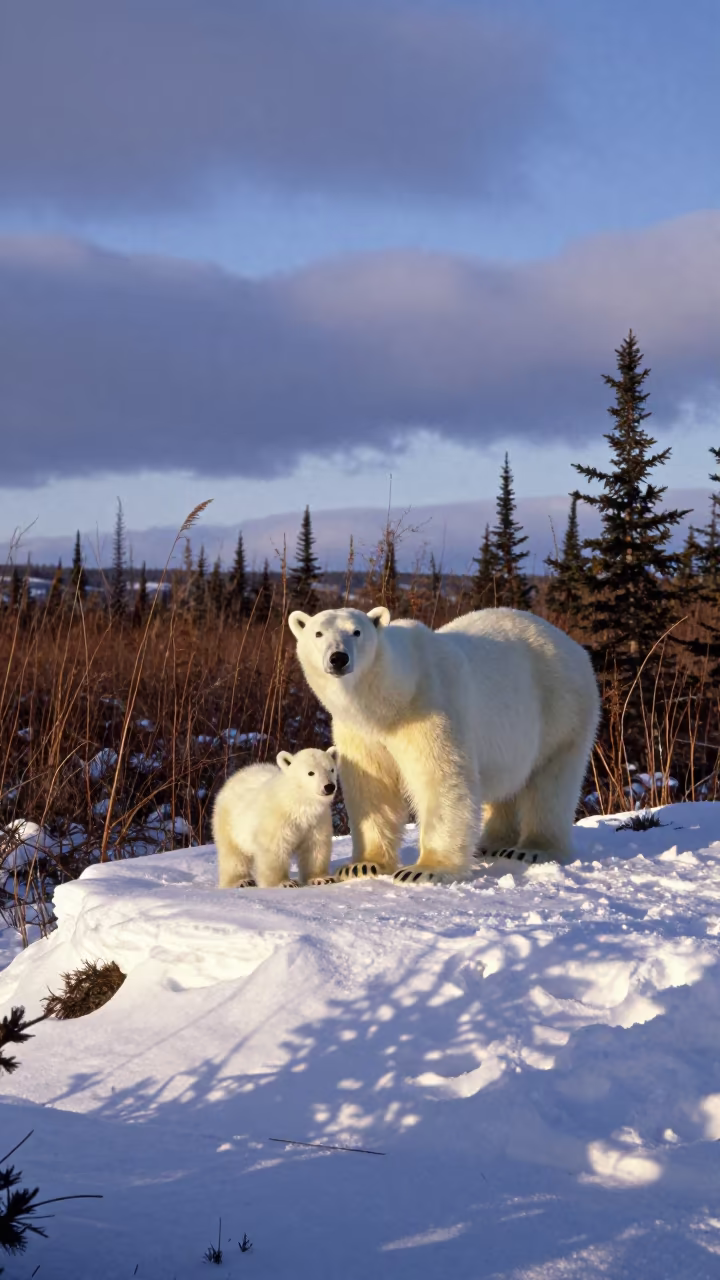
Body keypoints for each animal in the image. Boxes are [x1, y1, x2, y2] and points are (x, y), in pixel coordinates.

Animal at [213, 747, 339, 889]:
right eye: (311, 773)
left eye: (331, 769)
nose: (329, 786)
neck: (297, 802)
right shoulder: (277, 819)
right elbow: (274, 849)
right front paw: (284, 883)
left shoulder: (316, 820)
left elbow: (315, 846)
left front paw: (322, 878)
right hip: (230, 821)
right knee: (233, 854)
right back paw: (240, 881)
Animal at [288, 606, 599, 884]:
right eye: (318, 633)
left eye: (357, 631)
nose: (338, 658)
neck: (391, 700)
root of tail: (572, 645)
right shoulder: (359, 732)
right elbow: (372, 787)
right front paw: (362, 865)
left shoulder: (430, 708)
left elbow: (440, 778)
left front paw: (424, 869)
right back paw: (491, 843)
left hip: (562, 709)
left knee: (552, 782)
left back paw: (532, 849)